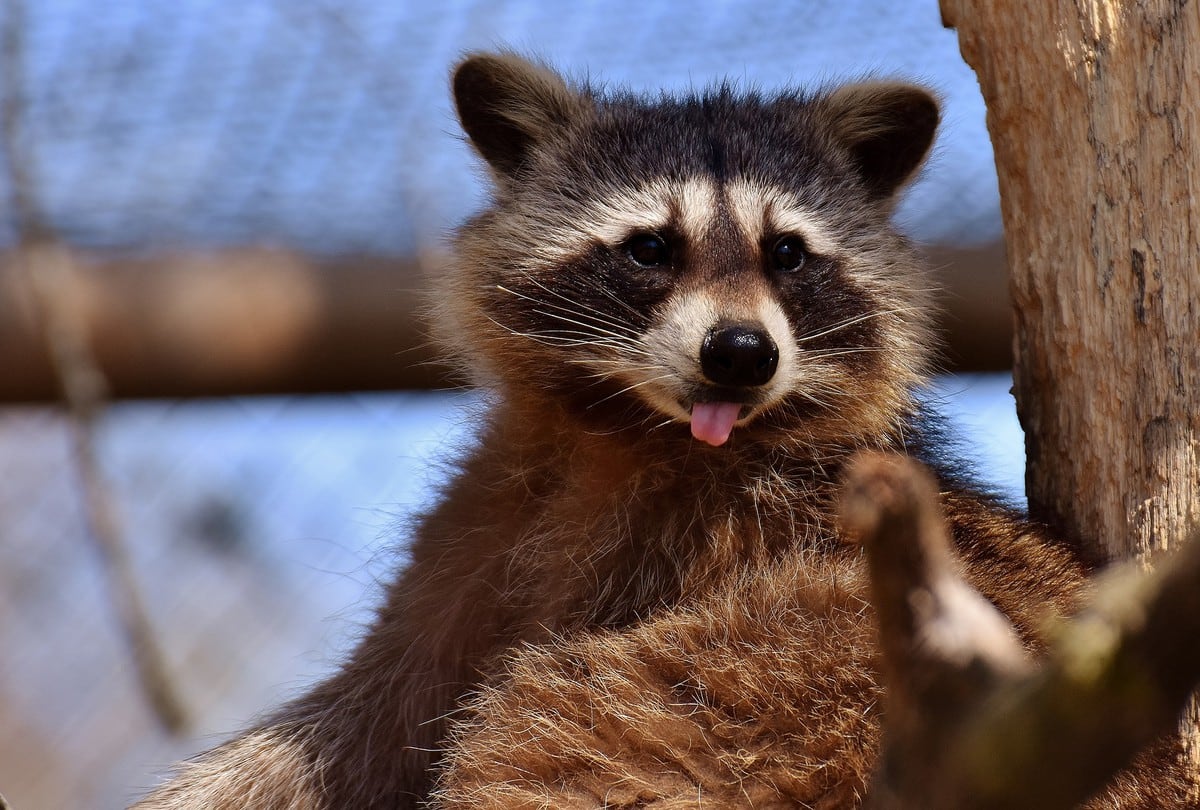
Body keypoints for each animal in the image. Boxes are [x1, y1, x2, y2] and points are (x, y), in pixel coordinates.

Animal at [133, 54, 1190, 806]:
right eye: (650, 248)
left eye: (787, 254)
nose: (741, 353)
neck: (637, 432)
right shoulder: (488, 524)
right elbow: (364, 713)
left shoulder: (744, 548)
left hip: (789, 681)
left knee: (555, 727)